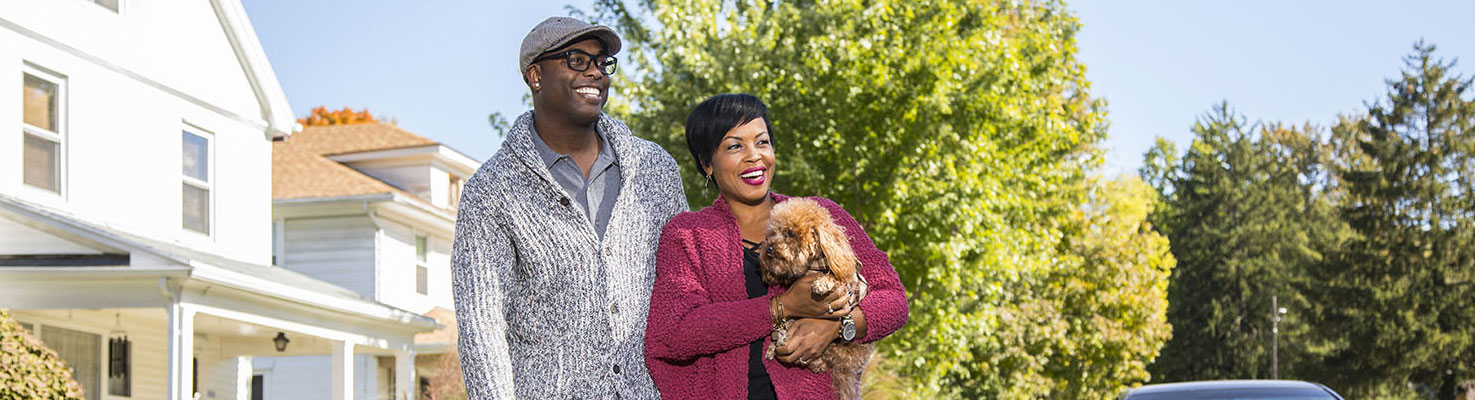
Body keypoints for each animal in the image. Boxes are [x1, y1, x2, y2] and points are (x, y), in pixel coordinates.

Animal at [755, 197, 867, 400]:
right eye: (772, 234)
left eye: (790, 233)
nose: (768, 249)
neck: (813, 265)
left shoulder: (850, 284)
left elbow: (836, 278)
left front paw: (822, 283)